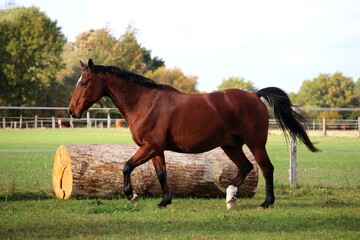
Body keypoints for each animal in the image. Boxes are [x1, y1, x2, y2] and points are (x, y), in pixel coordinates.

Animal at [67, 59, 318, 209]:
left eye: (85, 82)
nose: (72, 111)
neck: (145, 103)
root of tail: (255, 95)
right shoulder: (156, 149)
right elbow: (161, 174)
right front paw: (165, 201)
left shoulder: (149, 146)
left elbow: (127, 166)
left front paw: (132, 195)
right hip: (231, 145)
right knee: (246, 167)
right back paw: (230, 197)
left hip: (255, 143)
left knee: (266, 168)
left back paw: (266, 202)